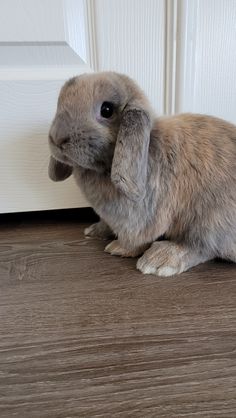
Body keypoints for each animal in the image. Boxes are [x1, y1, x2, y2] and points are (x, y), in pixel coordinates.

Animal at [48, 70, 236, 276]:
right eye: (60, 102)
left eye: (107, 110)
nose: (57, 138)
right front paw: (96, 230)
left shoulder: (140, 217)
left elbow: (136, 239)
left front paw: (119, 248)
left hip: (210, 218)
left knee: (202, 247)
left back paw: (159, 260)